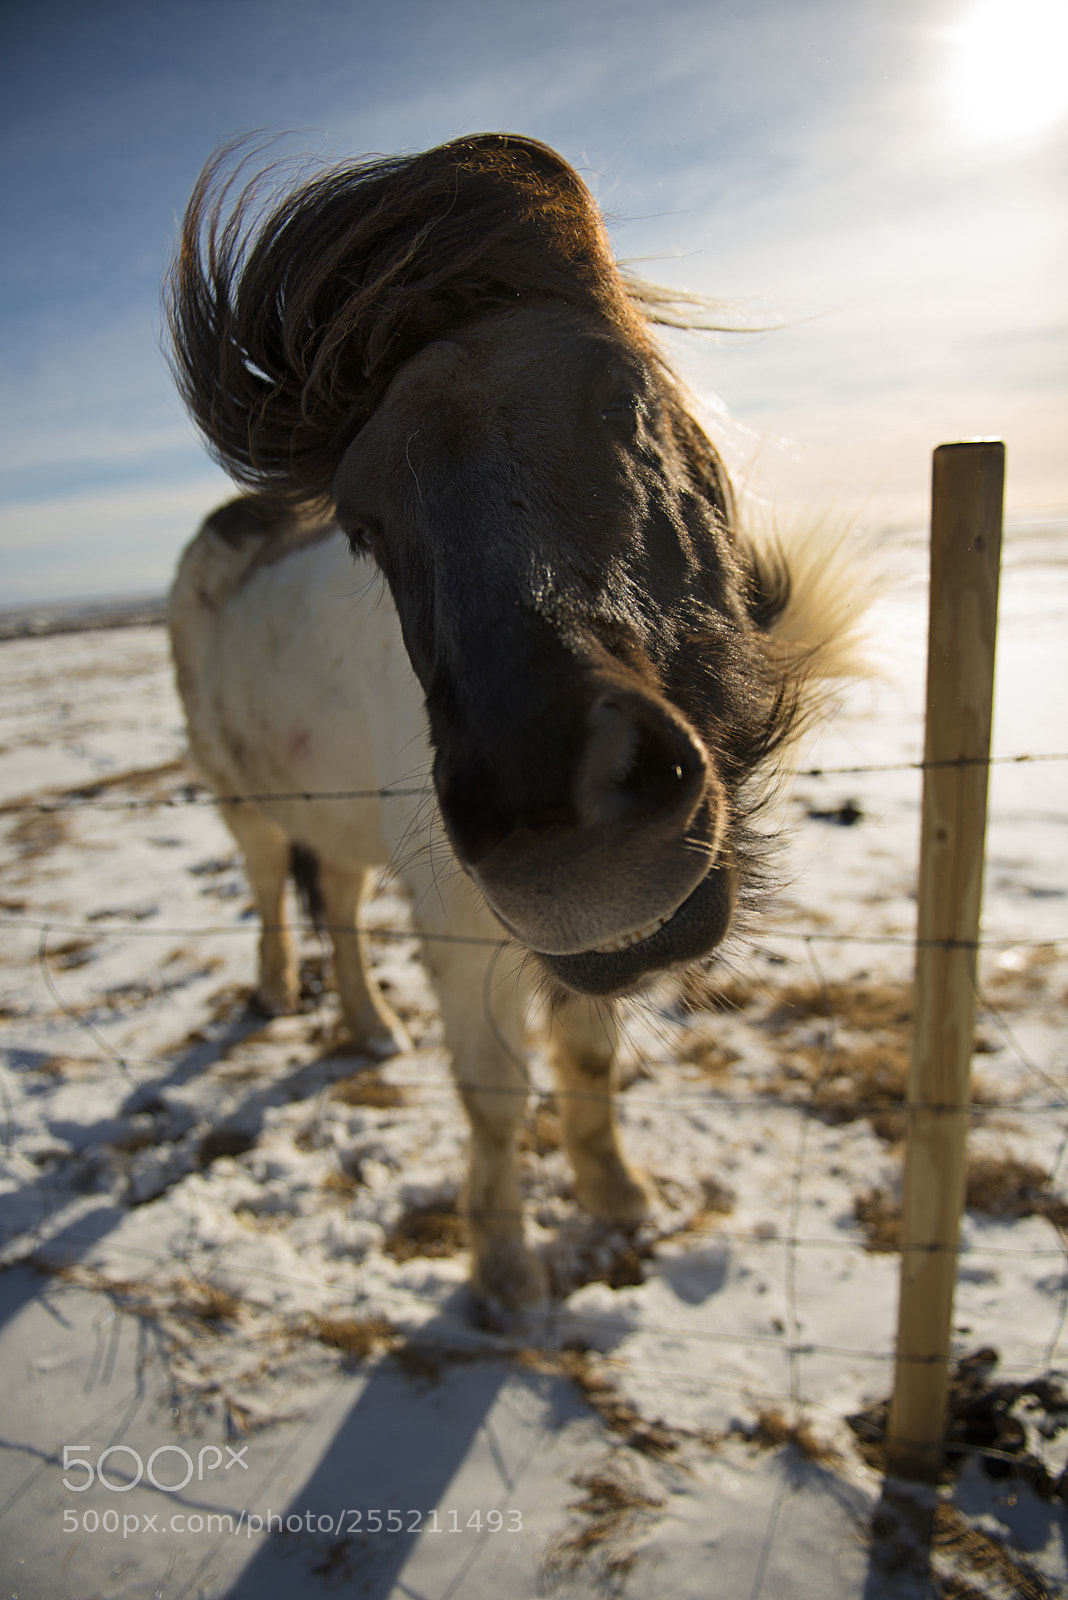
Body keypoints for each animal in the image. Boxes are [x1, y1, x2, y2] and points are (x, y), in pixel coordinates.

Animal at [166, 132, 862, 1315]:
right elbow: (494, 1096)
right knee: (271, 893)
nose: (565, 837)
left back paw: (370, 1028)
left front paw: (617, 1196)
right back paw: (277, 996)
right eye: (363, 524)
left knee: (337, 904)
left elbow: (586, 1062)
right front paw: (504, 1269)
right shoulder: (462, 922)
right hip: (244, 804)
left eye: (627, 396)